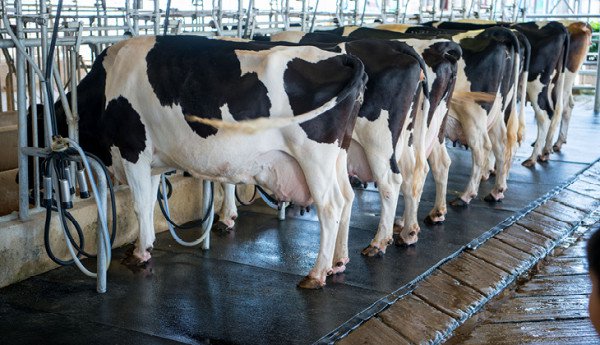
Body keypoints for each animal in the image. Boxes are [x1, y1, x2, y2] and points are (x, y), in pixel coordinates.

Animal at [45, 35, 366, 288]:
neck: (108, 84)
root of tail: (342, 58)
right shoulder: (151, 159)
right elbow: (148, 202)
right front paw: (144, 246)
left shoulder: (132, 150)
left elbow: (138, 204)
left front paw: (139, 253)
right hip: (338, 154)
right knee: (348, 198)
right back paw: (339, 262)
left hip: (314, 156)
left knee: (330, 206)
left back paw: (317, 273)